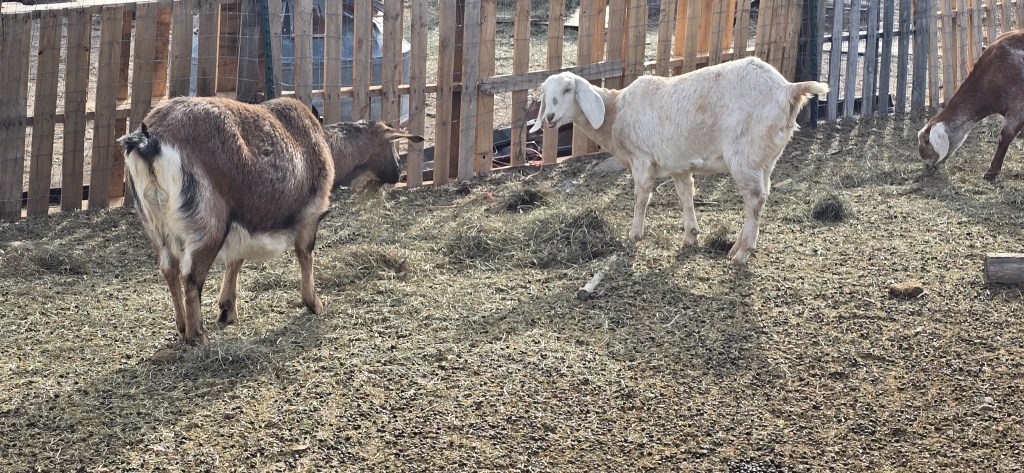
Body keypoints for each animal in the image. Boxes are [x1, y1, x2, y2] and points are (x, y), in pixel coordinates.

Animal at [118, 96, 422, 345]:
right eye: (393, 146)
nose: (399, 172)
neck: (324, 144)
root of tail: (149, 140)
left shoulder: (243, 217)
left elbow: (236, 259)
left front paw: (228, 309)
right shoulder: (311, 213)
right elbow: (305, 254)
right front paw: (314, 303)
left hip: (155, 224)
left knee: (169, 269)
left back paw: (182, 327)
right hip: (207, 223)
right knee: (191, 276)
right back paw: (197, 336)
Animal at [530, 57, 827, 265]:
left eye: (568, 89)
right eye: (546, 94)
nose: (550, 118)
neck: (615, 112)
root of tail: (788, 89)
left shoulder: (641, 159)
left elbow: (641, 197)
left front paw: (634, 235)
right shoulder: (679, 165)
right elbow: (686, 196)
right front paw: (691, 236)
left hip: (745, 154)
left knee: (754, 199)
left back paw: (742, 254)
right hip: (764, 157)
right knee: (762, 195)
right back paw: (737, 245)